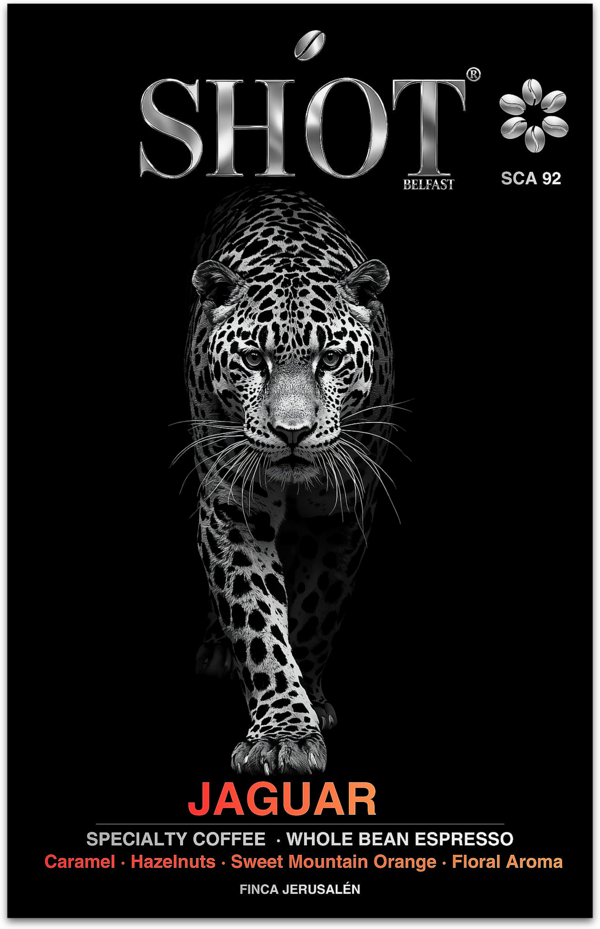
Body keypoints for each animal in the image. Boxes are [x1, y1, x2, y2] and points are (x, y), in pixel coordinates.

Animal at [184, 185, 397, 775]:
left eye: (331, 359)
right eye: (254, 359)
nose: (292, 432)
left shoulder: (343, 514)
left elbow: (317, 606)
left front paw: (310, 708)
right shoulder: (231, 508)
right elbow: (255, 618)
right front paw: (283, 733)